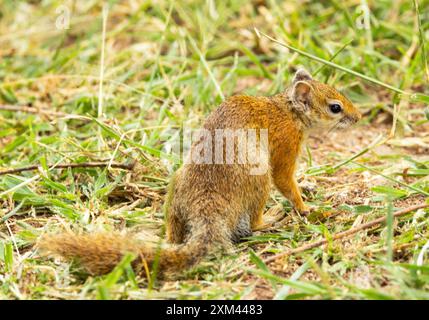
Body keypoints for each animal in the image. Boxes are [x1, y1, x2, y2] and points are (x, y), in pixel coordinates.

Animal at [38, 68, 362, 278]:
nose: (358, 117)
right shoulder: (285, 147)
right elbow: (286, 181)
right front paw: (307, 209)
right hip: (259, 183)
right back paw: (271, 219)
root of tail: (205, 208)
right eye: (335, 107)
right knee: (254, 222)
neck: (285, 109)